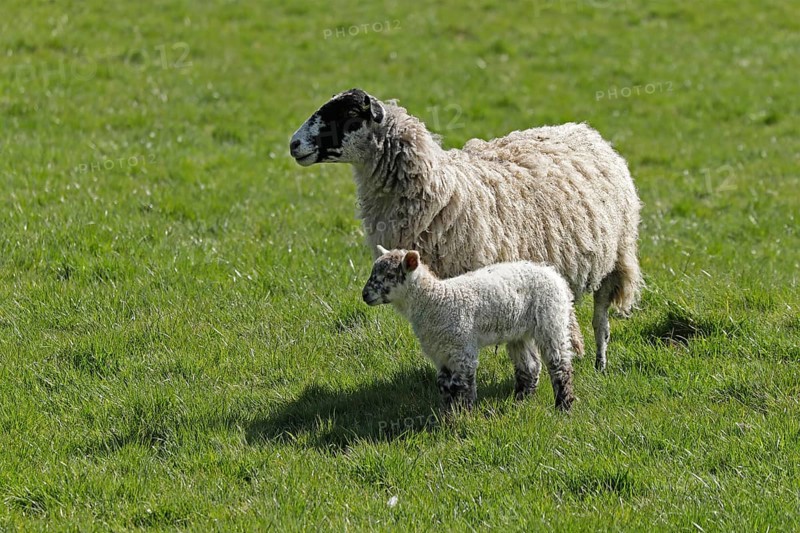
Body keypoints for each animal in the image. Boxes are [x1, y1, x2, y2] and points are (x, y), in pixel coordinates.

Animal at [290, 88, 643, 371]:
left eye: (349, 114)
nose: (293, 144)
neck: (444, 191)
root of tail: (584, 130)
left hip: (616, 257)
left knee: (600, 318)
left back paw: (600, 363)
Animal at [362, 245, 575, 411]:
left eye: (390, 275)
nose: (364, 295)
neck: (435, 301)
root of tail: (553, 274)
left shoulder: (462, 348)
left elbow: (462, 385)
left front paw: (464, 415)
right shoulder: (441, 353)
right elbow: (444, 385)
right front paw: (447, 415)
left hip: (551, 320)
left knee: (560, 365)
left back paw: (563, 407)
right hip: (519, 332)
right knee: (529, 366)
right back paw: (521, 400)